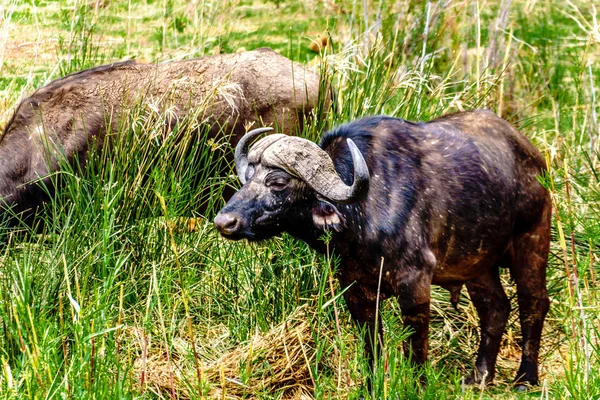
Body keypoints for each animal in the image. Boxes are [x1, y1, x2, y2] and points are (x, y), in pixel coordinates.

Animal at [213, 109, 552, 388]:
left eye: (278, 182)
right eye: (248, 178)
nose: (224, 222)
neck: (360, 217)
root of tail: (533, 156)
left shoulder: (415, 284)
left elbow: (415, 343)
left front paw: (418, 386)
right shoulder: (355, 289)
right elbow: (371, 345)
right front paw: (371, 386)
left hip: (532, 241)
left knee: (534, 303)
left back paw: (525, 378)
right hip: (478, 265)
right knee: (495, 308)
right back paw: (479, 378)